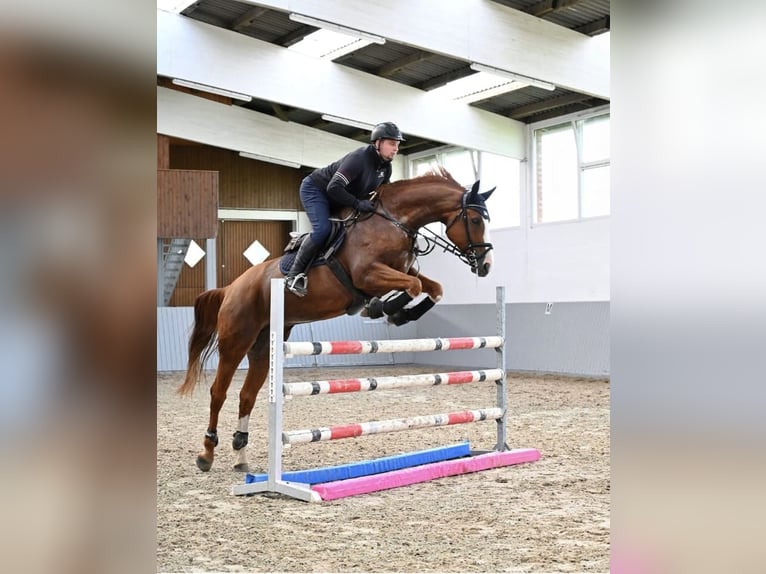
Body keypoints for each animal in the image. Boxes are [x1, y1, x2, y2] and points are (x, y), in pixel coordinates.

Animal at [177, 167, 495, 472]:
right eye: (475, 220)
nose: (486, 266)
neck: (395, 221)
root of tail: (231, 287)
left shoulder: (403, 270)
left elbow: (433, 288)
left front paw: (401, 313)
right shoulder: (368, 275)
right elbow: (413, 287)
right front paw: (383, 308)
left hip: (263, 345)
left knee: (247, 395)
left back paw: (240, 457)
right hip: (236, 341)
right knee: (219, 392)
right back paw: (206, 454)